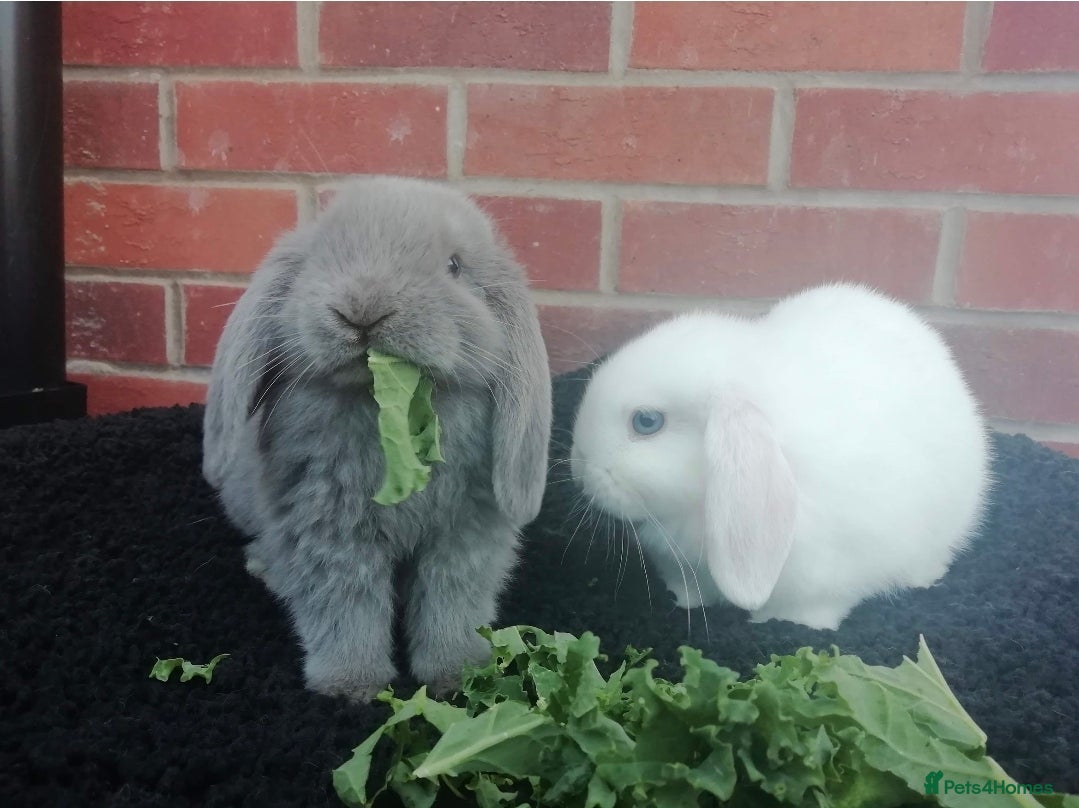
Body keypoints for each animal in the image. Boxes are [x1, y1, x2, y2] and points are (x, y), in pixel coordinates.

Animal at [202, 176, 552, 700]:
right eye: (320, 258)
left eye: (455, 266)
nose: (363, 309)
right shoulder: (329, 533)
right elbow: (346, 606)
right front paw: (350, 685)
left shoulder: (465, 536)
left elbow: (452, 602)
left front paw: (459, 675)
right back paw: (267, 568)